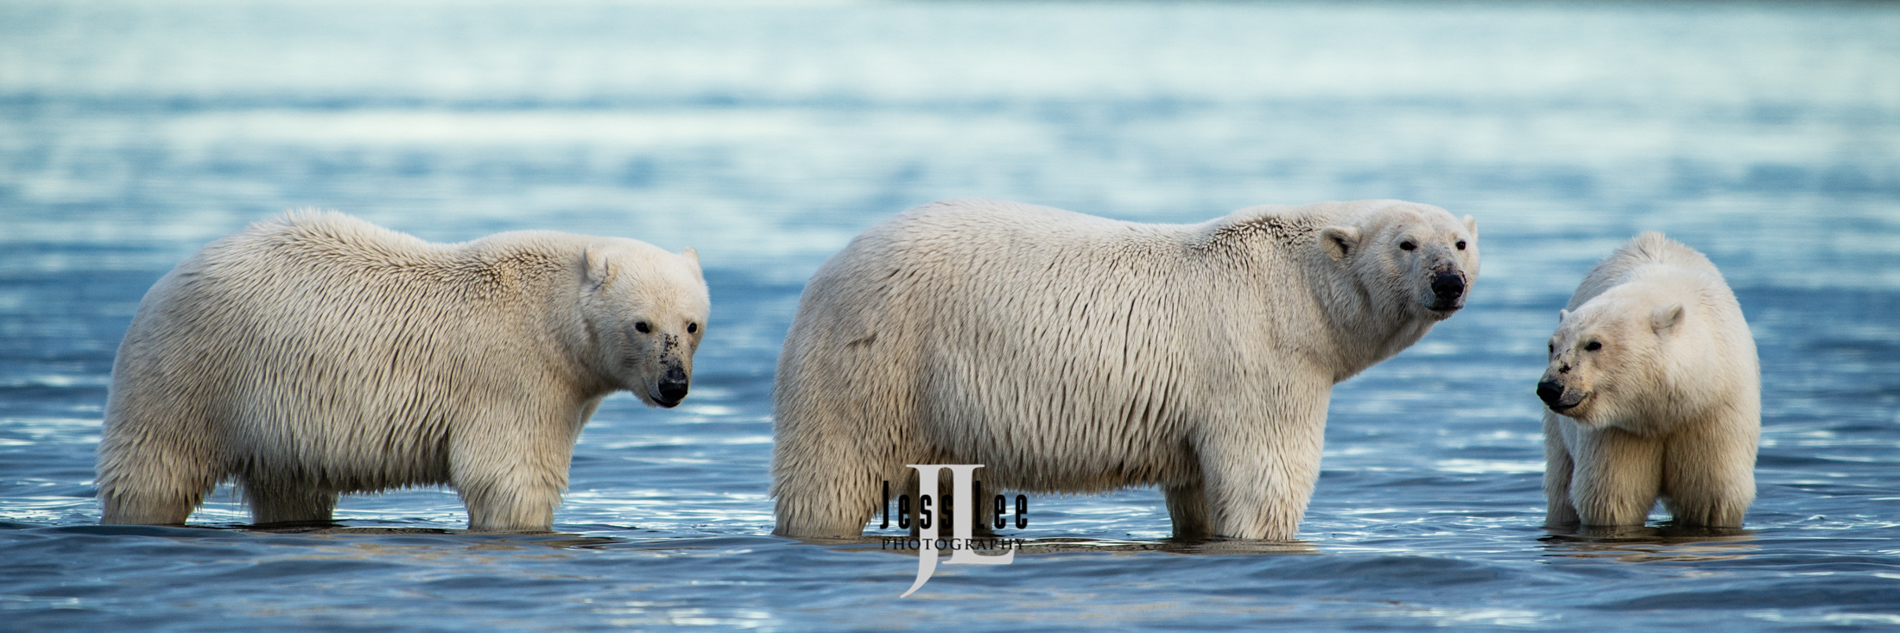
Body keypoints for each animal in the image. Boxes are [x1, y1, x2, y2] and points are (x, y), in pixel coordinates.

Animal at [94, 209, 714, 528]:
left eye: (691, 325)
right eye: (642, 324)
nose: (673, 384)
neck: (552, 318)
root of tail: (167, 280)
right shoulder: (515, 376)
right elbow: (510, 477)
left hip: (277, 426)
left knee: (290, 489)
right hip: (190, 372)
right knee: (154, 474)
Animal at [771, 195, 1482, 536]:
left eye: (1460, 242)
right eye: (1406, 244)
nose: (1449, 282)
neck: (1299, 289)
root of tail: (826, 269)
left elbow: (1198, 491)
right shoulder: (1261, 358)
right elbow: (1263, 481)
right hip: (876, 361)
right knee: (830, 477)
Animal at [1535, 231, 1755, 528]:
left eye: (1594, 344)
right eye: (1552, 346)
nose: (1550, 387)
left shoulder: (1713, 412)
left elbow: (1711, 495)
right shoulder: (1618, 430)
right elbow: (1612, 498)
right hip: (1559, 432)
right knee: (1560, 485)